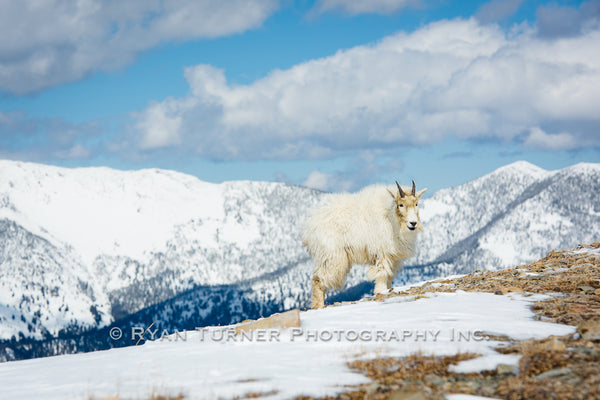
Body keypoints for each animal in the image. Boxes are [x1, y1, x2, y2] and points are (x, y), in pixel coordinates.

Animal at [304, 181, 426, 310]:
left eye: (416, 203)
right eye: (401, 205)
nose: (413, 223)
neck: (391, 217)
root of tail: (309, 228)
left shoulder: (393, 258)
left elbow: (389, 277)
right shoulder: (381, 253)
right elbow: (381, 274)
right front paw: (380, 292)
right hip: (332, 257)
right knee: (318, 278)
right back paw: (319, 306)